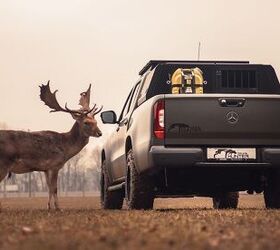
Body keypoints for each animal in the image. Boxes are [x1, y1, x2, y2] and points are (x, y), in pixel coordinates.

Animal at [0, 81, 103, 209]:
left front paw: (49, 207)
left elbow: (49, 188)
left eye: (96, 121)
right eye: (86, 122)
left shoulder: (45, 169)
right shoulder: (54, 165)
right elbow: (55, 188)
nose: (100, 133)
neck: (65, 148)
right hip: (4, 163)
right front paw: (58, 208)